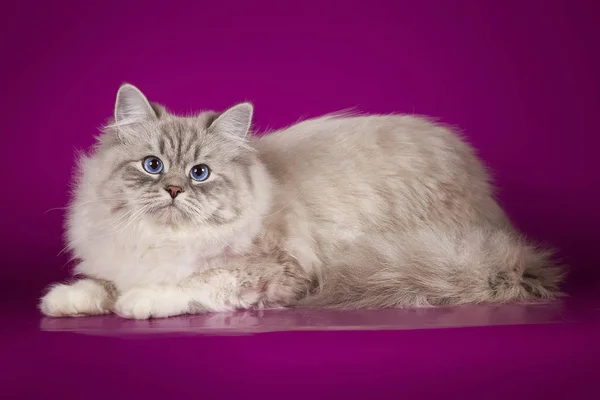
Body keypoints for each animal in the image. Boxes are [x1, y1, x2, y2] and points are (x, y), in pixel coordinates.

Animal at [37, 83, 564, 318]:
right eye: (152, 165)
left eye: (199, 173)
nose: (173, 190)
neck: (162, 243)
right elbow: (101, 283)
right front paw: (66, 299)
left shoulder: (273, 272)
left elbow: (194, 284)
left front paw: (138, 301)